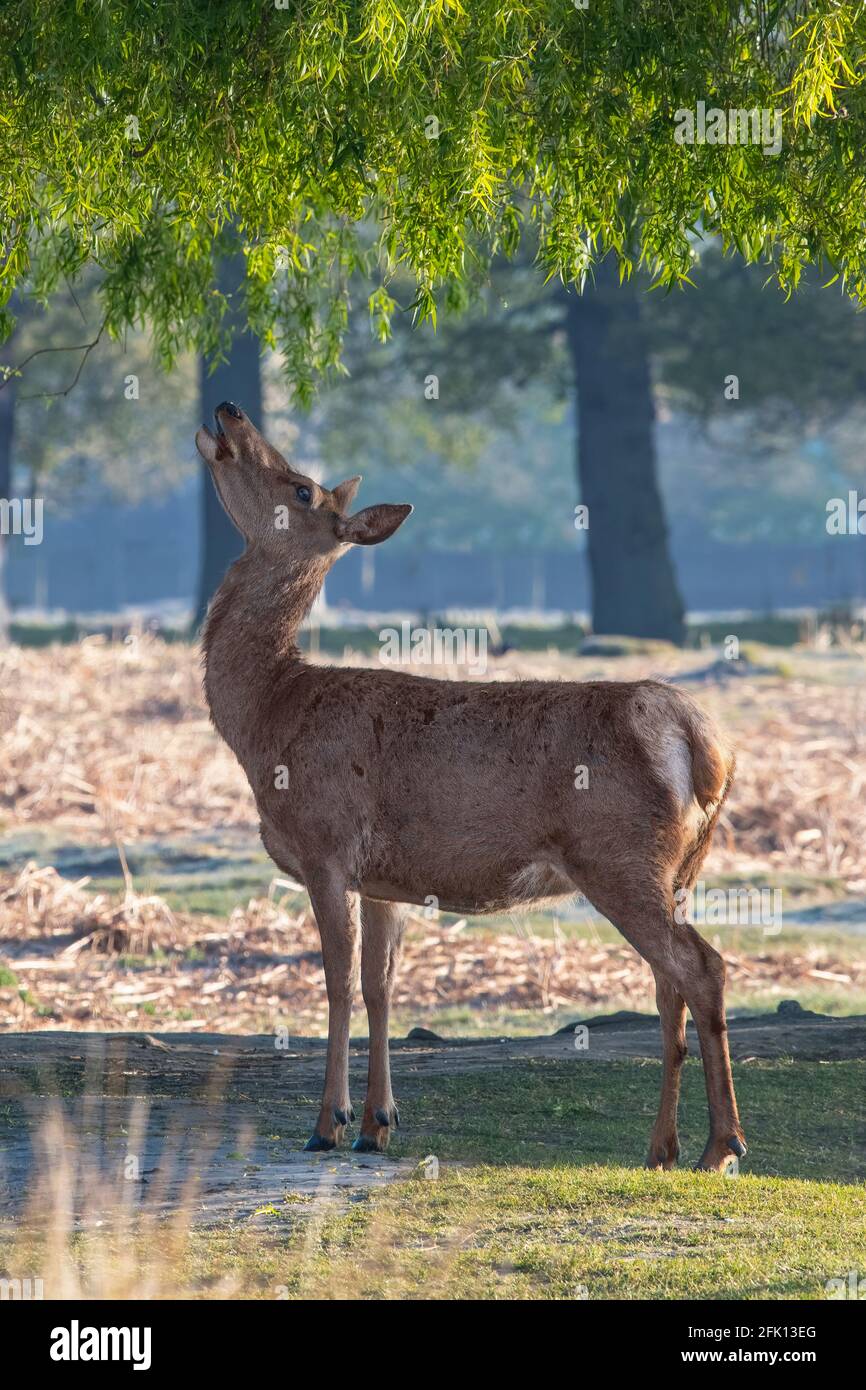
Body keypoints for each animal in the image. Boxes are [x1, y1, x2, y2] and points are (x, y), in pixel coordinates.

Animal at [195, 403, 745, 1173]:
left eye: (301, 488)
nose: (230, 410)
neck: (266, 721)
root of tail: (705, 746)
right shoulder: (381, 877)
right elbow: (380, 986)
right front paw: (379, 1123)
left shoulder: (326, 845)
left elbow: (336, 984)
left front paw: (328, 1123)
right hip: (677, 867)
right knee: (670, 983)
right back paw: (660, 1147)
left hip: (619, 855)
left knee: (701, 967)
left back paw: (721, 1146)